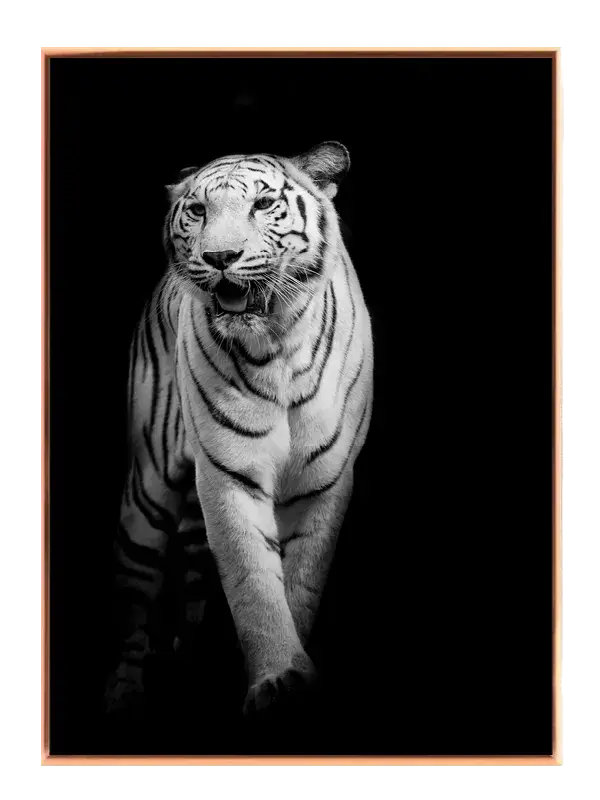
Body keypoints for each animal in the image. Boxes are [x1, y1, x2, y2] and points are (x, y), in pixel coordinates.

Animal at [104, 141, 374, 718]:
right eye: (198, 210)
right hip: (147, 492)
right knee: (134, 597)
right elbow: (252, 580)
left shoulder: (325, 479)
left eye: (264, 204)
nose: (219, 258)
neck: (278, 346)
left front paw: (292, 676)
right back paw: (124, 692)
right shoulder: (228, 474)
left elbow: (301, 580)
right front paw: (278, 678)